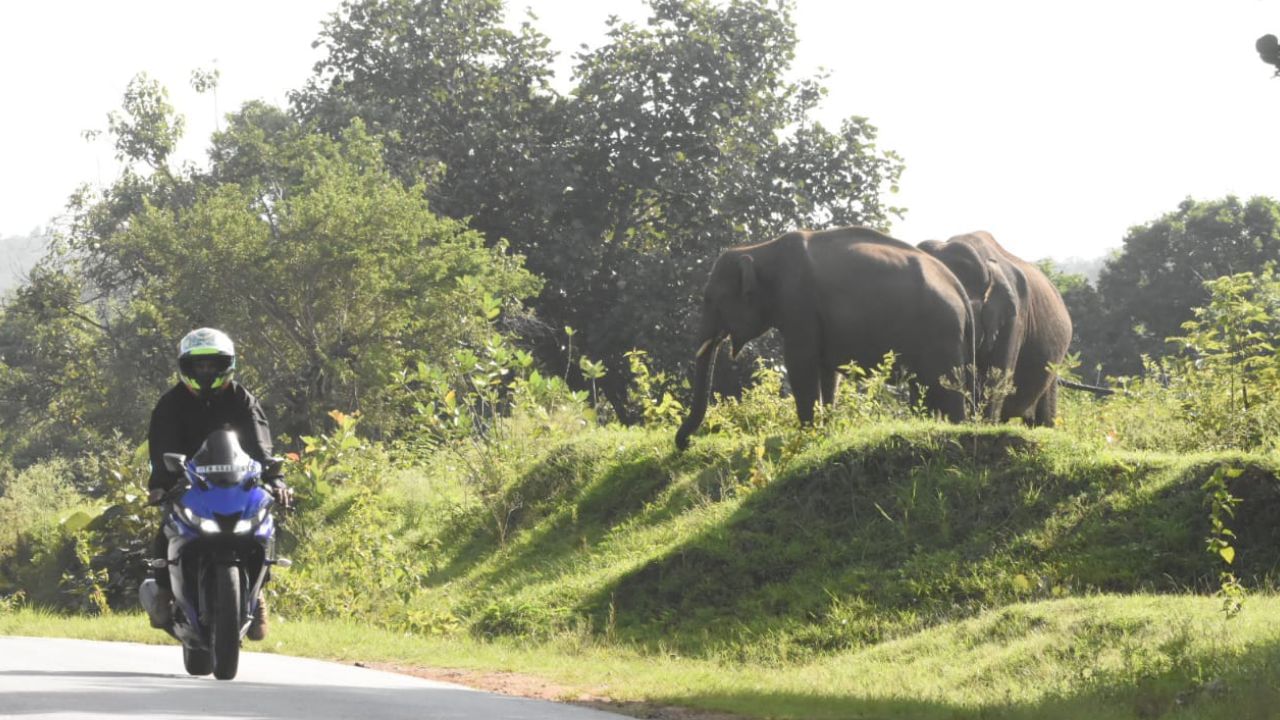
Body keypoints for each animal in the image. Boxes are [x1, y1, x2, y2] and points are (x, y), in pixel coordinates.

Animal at [675, 224, 972, 448]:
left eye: (711, 300)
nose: (686, 444)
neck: (760, 249)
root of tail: (959, 288)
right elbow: (827, 370)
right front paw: (825, 428)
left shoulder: (799, 302)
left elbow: (800, 363)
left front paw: (805, 435)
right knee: (927, 386)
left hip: (940, 331)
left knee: (944, 386)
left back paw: (956, 427)